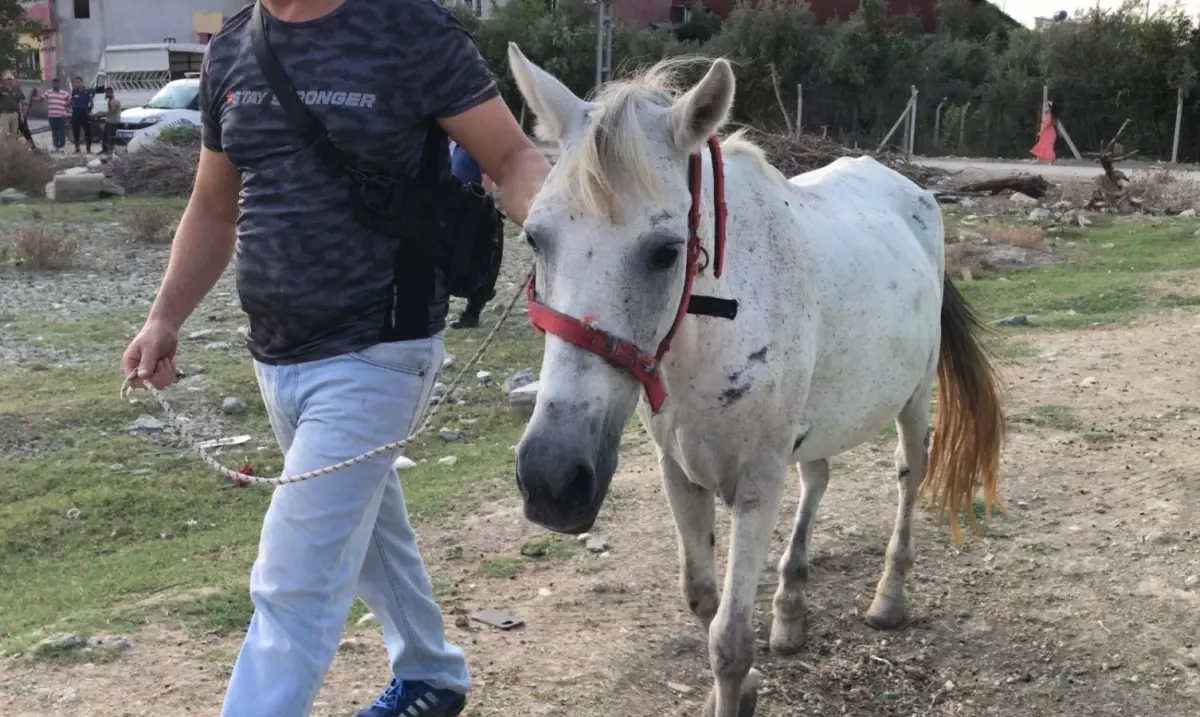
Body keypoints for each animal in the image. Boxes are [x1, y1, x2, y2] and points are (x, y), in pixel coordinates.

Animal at [506, 44, 1003, 717]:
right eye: (535, 236)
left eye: (666, 251)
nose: (553, 479)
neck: (713, 334)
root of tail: (912, 191)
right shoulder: (679, 472)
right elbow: (702, 598)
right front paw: (747, 688)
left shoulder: (757, 485)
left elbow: (730, 640)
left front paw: (740, 683)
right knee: (817, 476)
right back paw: (790, 610)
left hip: (916, 397)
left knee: (909, 474)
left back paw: (889, 599)